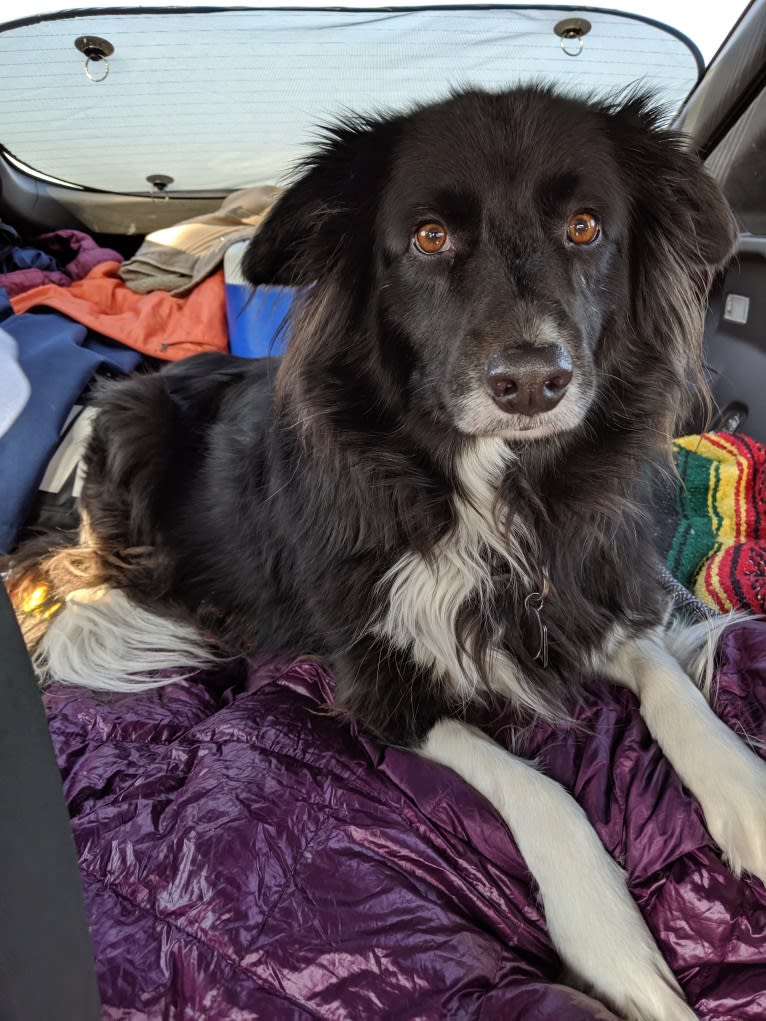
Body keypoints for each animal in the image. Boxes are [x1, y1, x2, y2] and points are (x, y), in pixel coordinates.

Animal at [7, 89, 766, 1021]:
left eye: (586, 227)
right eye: (430, 237)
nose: (531, 382)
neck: (484, 494)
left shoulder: (580, 595)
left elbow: (666, 678)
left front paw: (748, 795)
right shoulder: (380, 685)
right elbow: (538, 786)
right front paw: (613, 942)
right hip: (131, 428)